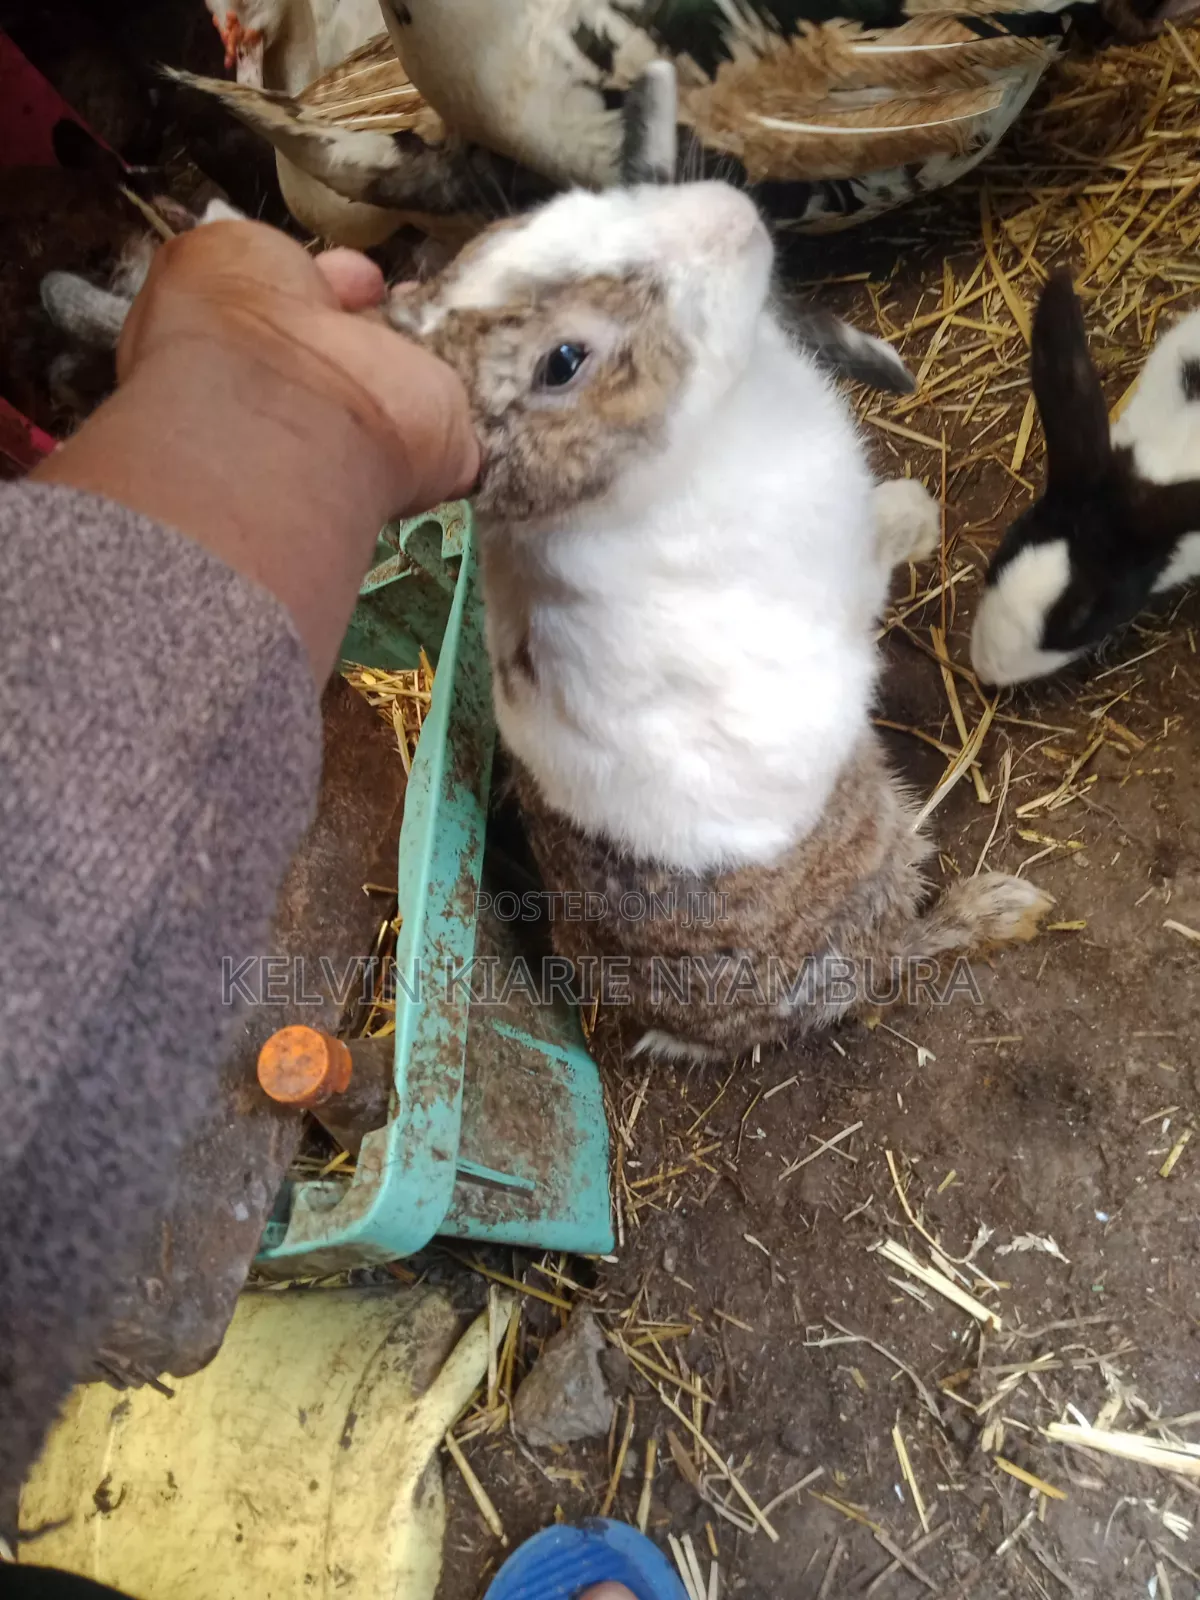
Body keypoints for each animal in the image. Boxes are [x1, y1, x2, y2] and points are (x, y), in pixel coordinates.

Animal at [388, 74, 1053, 1063]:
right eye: (562, 362)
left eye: (544, 219)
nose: (725, 219)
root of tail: (688, 1034)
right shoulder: (835, 577)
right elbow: (875, 556)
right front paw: (917, 516)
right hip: (872, 867)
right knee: (897, 959)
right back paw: (1001, 906)